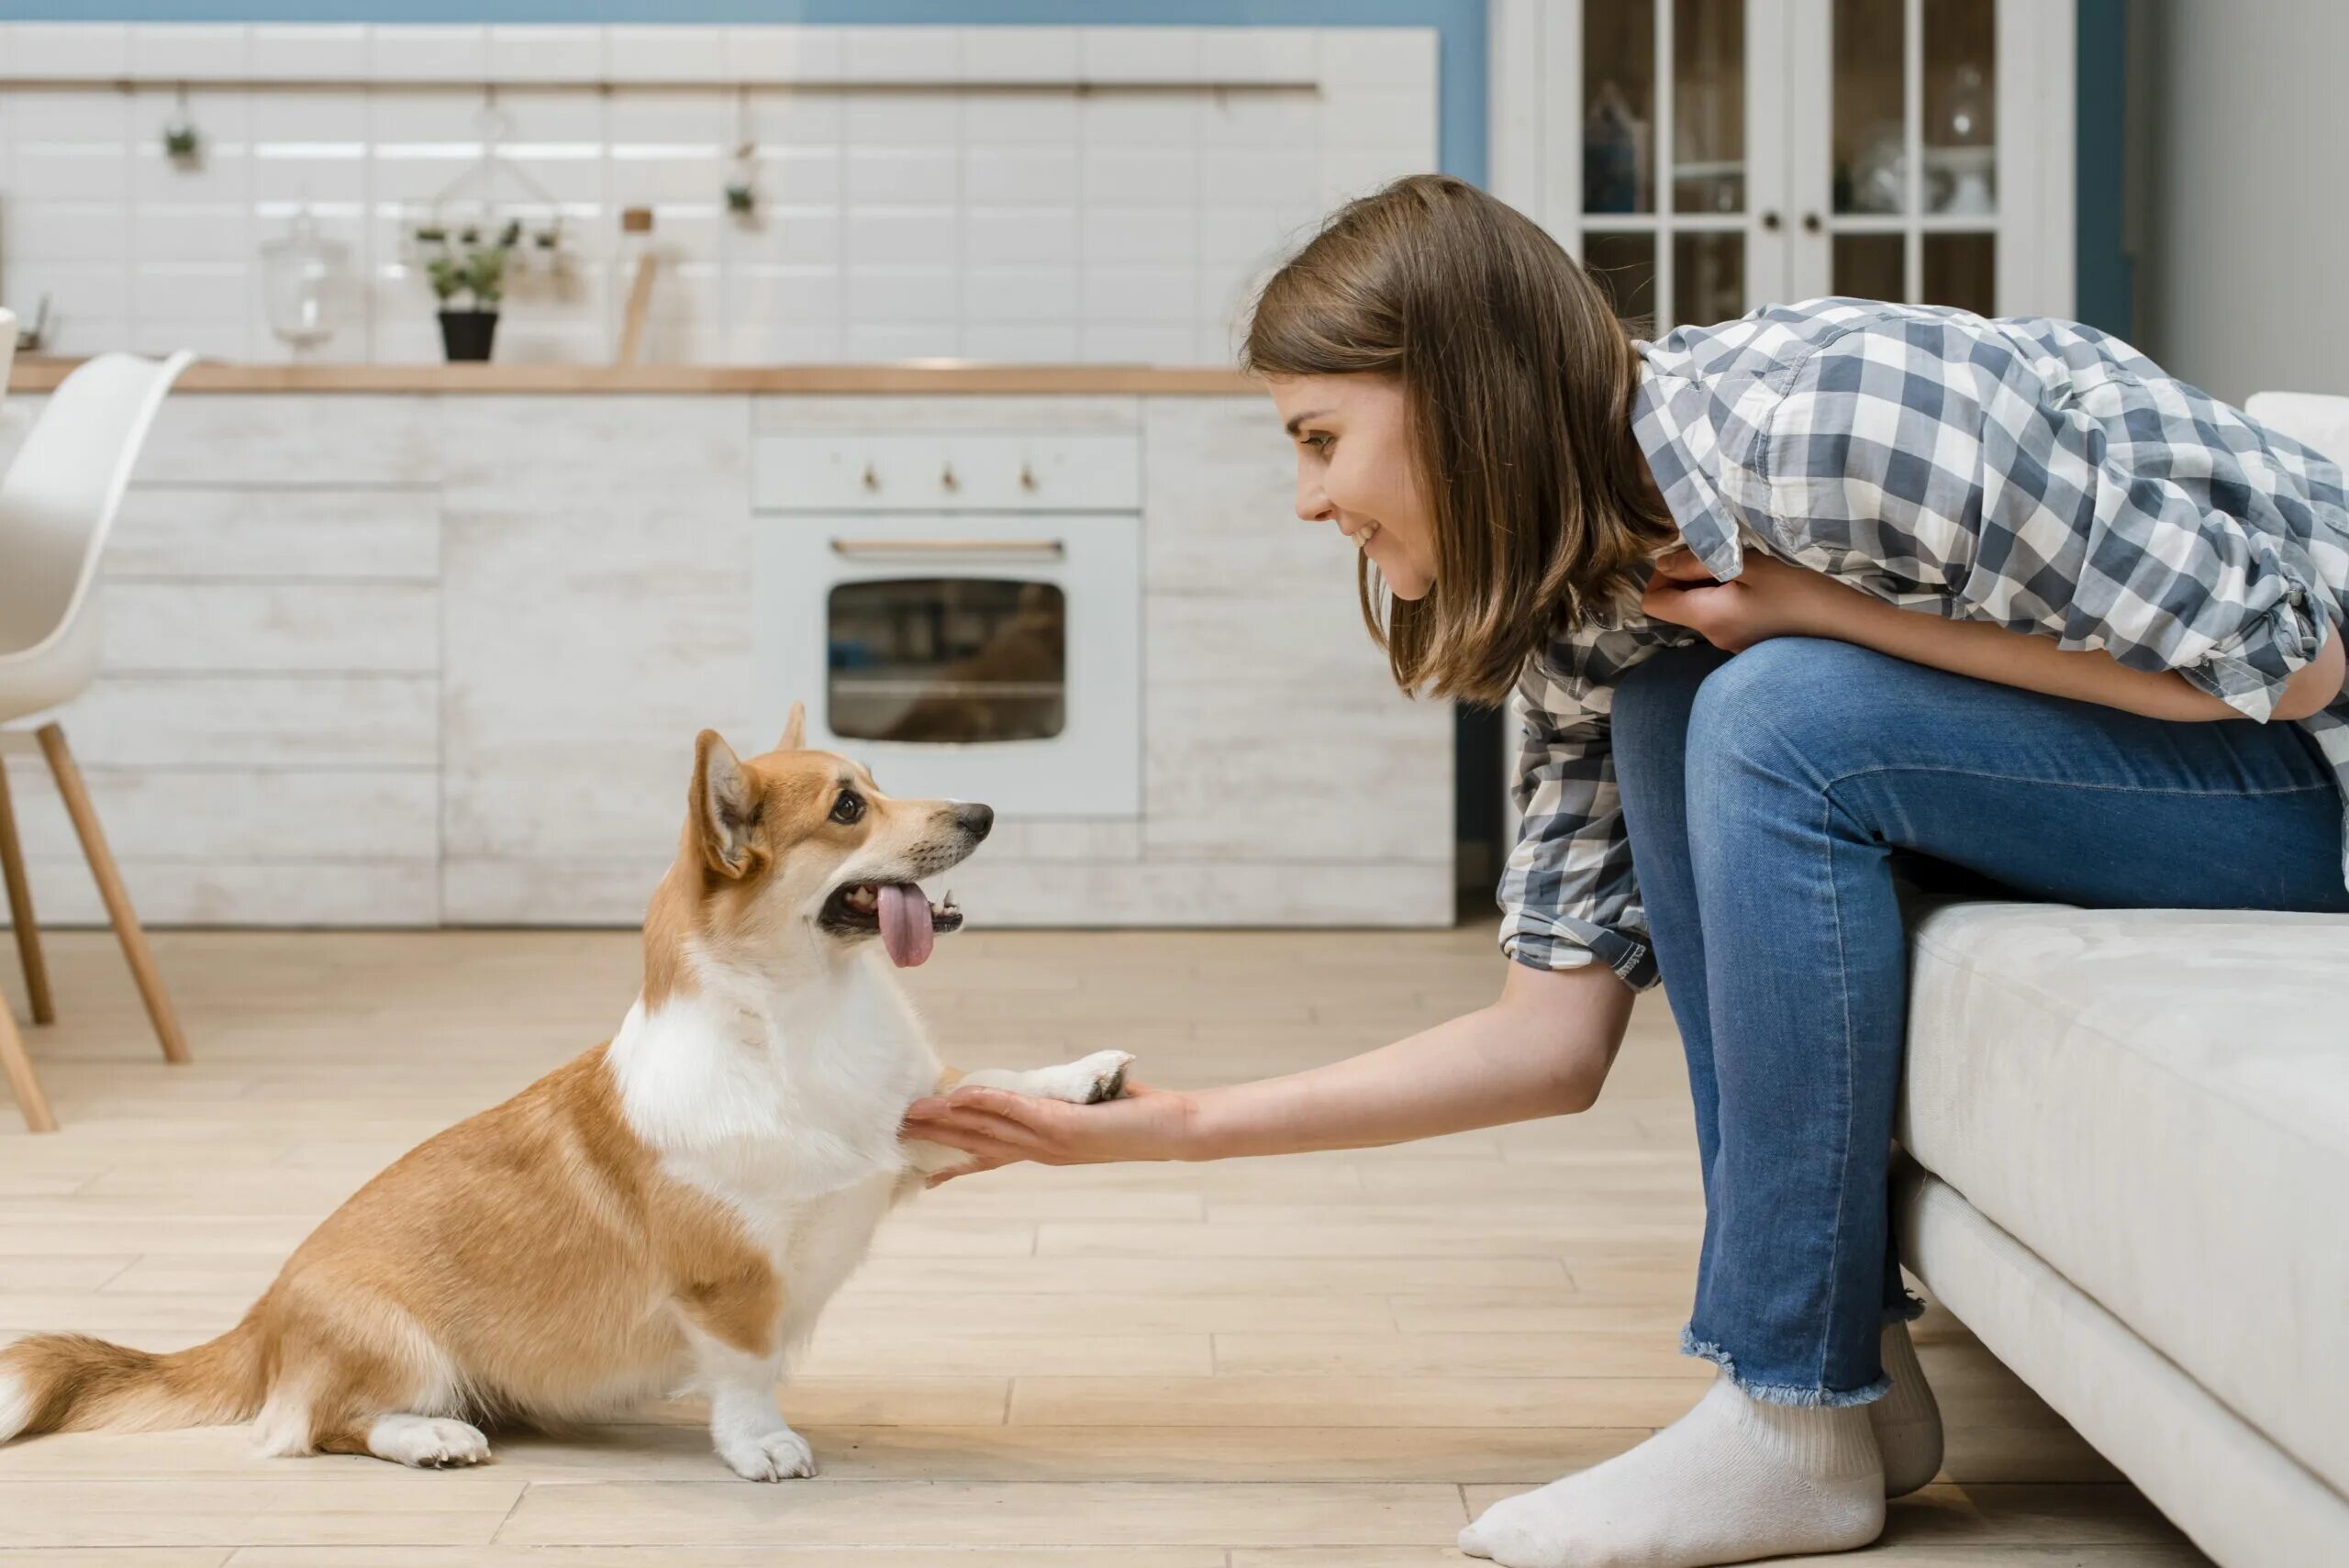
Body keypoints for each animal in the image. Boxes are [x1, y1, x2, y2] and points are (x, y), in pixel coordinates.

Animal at [0, 708, 1137, 1483]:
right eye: (848, 807)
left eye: (877, 781)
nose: (984, 810)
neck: (802, 1015)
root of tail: (261, 1315)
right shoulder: (728, 1280)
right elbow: (746, 1368)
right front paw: (763, 1444)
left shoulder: (905, 1131)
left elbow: (987, 1080)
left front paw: (1085, 1075)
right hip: (397, 1341)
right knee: (319, 1424)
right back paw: (434, 1435)